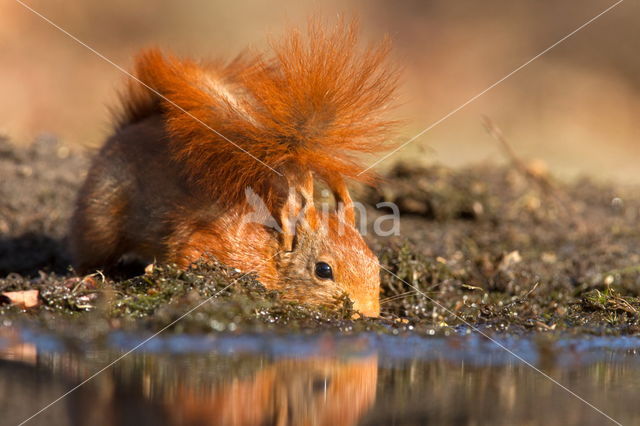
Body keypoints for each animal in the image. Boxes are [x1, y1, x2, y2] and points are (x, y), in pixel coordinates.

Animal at [71, 20, 400, 320]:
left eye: (375, 263)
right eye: (323, 270)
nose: (369, 314)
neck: (269, 249)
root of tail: (130, 127)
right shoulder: (211, 245)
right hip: (100, 215)